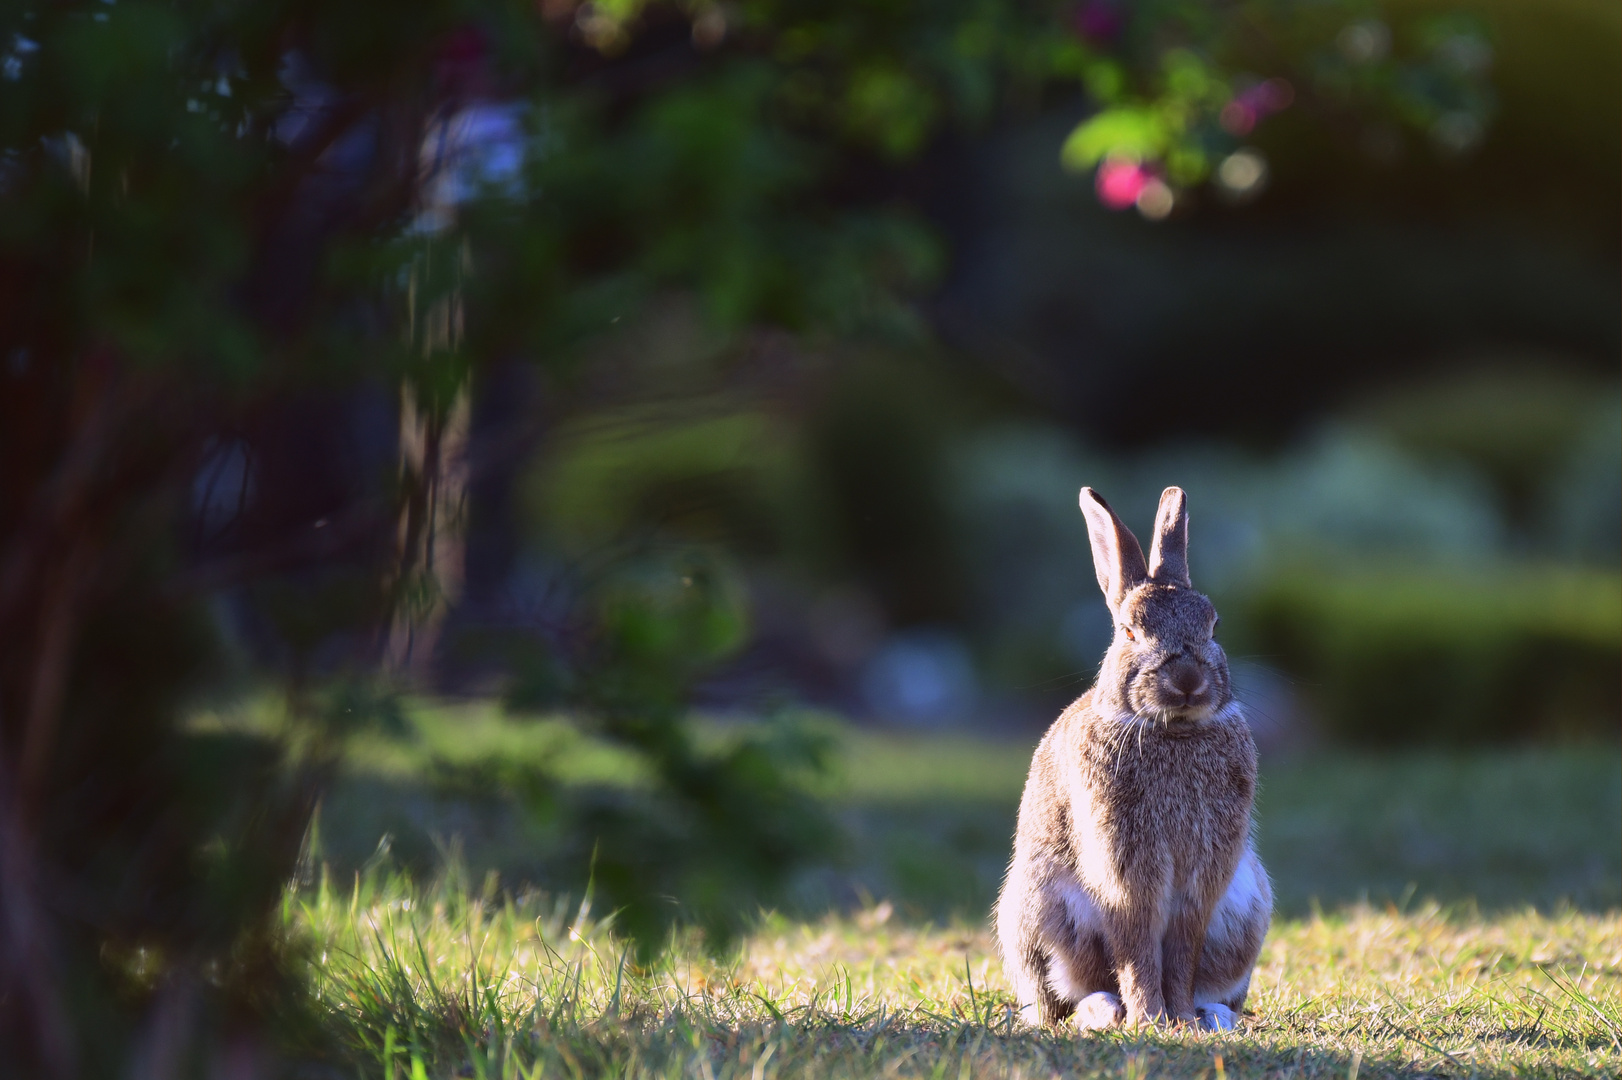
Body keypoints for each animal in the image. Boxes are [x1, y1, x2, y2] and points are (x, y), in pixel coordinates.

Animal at [992, 486, 1271, 1024]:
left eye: (1214, 627)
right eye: (1128, 632)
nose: (1187, 680)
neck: (1172, 730)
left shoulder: (1202, 879)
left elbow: (1181, 949)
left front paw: (1180, 1020)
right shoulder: (1124, 869)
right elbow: (1137, 945)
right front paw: (1150, 1020)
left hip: (1248, 909)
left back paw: (1213, 1018)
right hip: (1035, 910)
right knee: (1063, 1000)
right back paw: (1104, 1012)